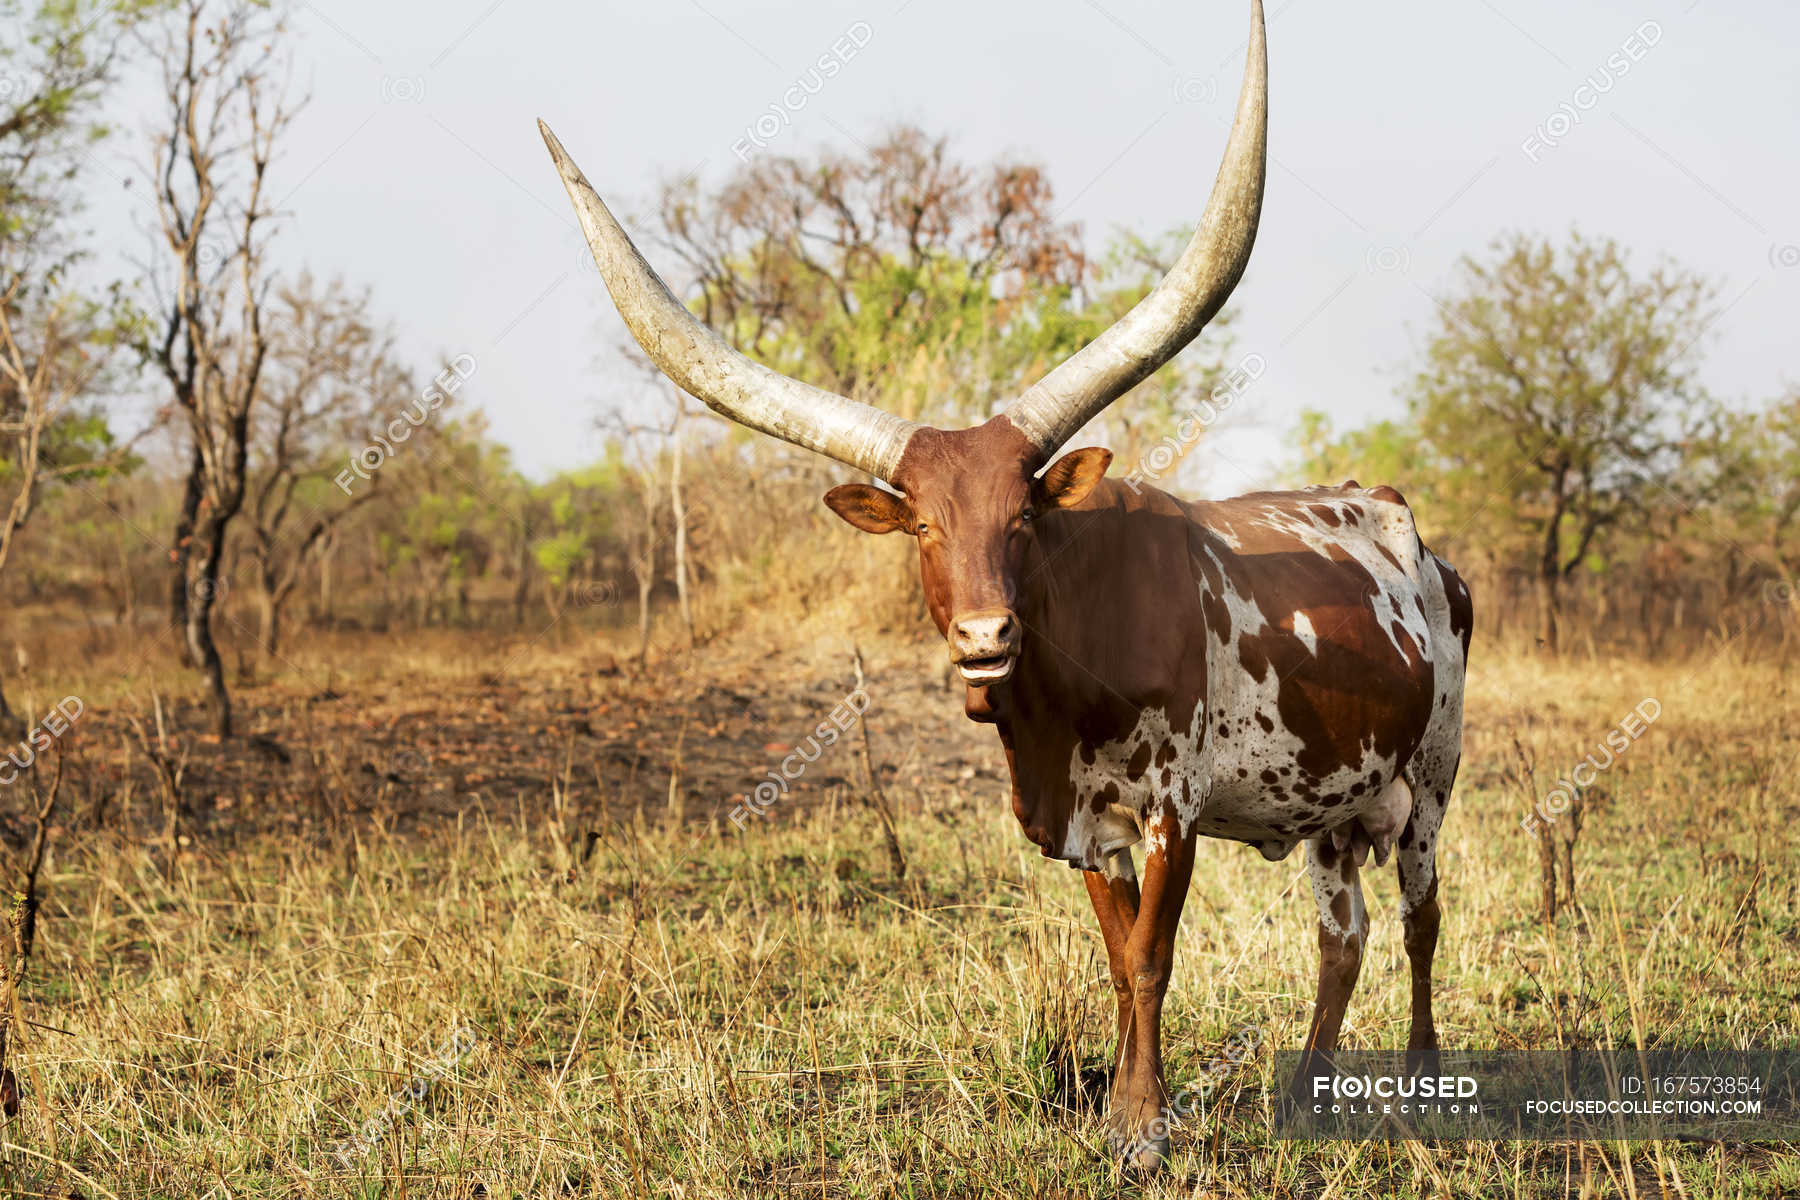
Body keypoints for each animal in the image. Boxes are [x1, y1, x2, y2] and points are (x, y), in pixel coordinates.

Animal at [540, 0, 1471, 1174]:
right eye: (925, 526)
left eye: (1025, 518)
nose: (984, 635)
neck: (1058, 699)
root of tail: (1400, 519)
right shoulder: (1086, 825)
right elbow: (1120, 963)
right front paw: (1127, 1109)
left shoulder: (1168, 807)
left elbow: (1154, 961)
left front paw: (1142, 1131)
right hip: (1334, 805)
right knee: (1342, 936)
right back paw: (1305, 1095)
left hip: (1431, 779)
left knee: (1422, 918)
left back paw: (1424, 1083)